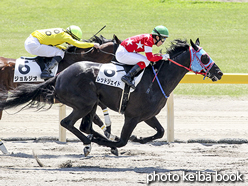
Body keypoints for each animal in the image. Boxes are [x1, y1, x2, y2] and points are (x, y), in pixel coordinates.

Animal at [0, 38, 223, 155]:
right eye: (204, 57)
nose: (219, 73)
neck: (158, 79)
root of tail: (60, 75)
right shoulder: (132, 116)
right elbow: (122, 141)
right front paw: (112, 141)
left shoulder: (148, 115)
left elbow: (159, 132)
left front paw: (138, 138)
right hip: (84, 103)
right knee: (68, 123)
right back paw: (89, 142)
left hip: (90, 104)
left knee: (84, 125)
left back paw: (91, 139)